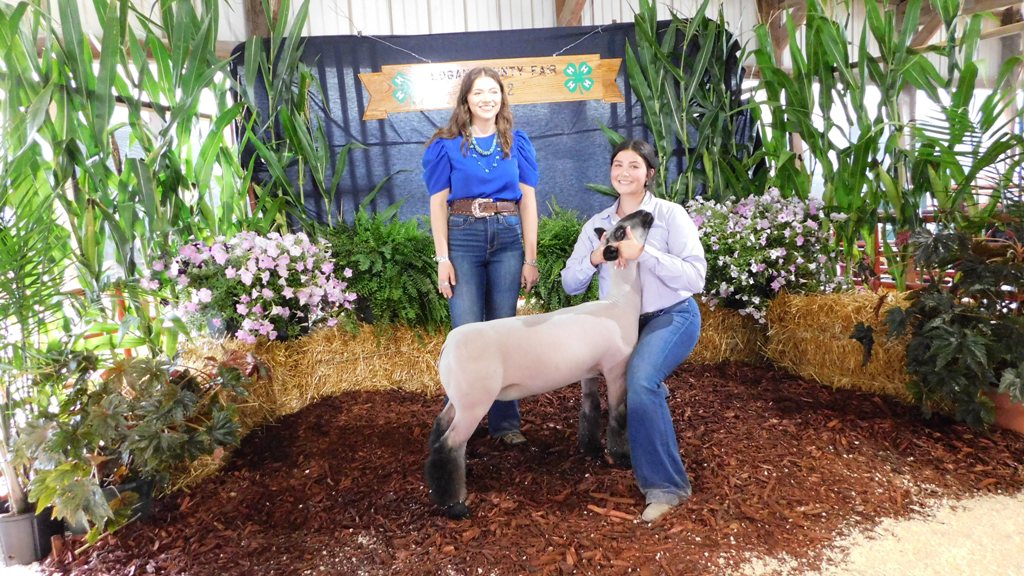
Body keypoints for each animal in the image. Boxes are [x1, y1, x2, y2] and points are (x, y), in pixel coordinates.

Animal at [425, 209, 654, 519]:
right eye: (621, 232)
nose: (647, 213)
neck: (618, 304)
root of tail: (448, 344)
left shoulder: (589, 371)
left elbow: (590, 409)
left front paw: (591, 449)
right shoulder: (616, 369)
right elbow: (618, 416)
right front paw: (620, 457)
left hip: (459, 397)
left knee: (440, 427)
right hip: (474, 402)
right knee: (450, 444)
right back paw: (455, 505)